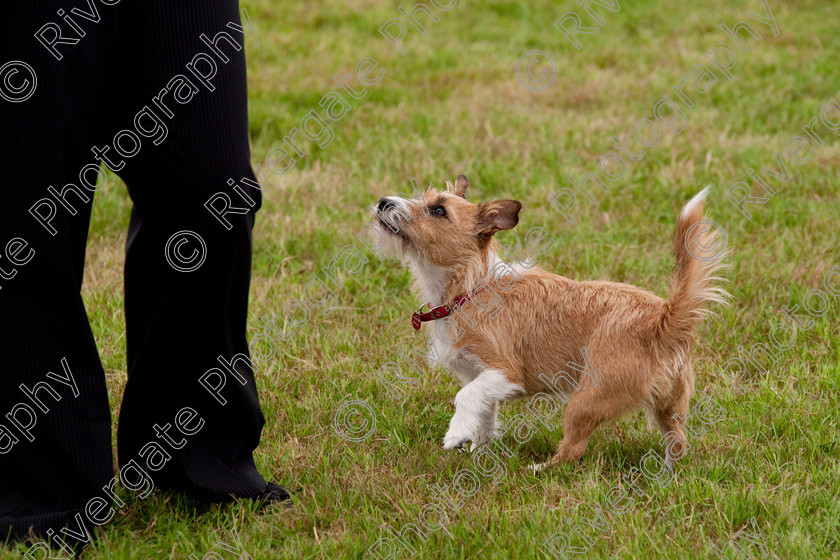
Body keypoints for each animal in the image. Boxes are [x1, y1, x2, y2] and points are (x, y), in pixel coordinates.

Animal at [370, 176, 724, 468]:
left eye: (438, 210)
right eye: (421, 196)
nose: (383, 201)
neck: (469, 288)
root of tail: (663, 318)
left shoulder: (504, 372)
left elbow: (465, 397)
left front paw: (456, 434)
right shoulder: (480, 377)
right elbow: (483, 417)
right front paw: (478, 454)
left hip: (585, 401)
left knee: (572, 451)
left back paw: (540, 470)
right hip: (669, 407)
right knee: (678, 441)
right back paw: (665, 475)